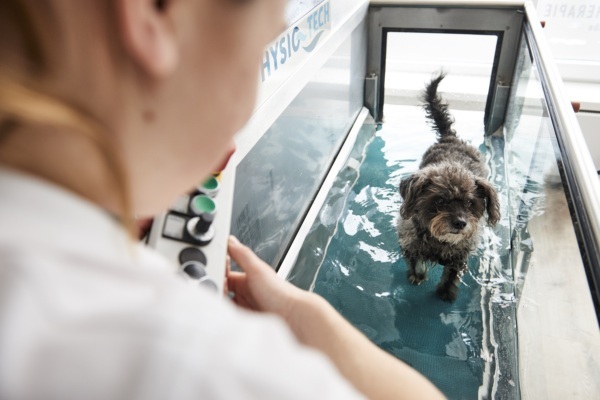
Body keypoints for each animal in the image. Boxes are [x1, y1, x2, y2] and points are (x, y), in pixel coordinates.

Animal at [398, 73, 502, 302]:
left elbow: (452, 274)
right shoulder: (411, 242)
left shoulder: (460, 254)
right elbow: (417, 262)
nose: (460, 223)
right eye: (439, 201)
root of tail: (450, 137)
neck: (440, 241)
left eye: (470, 203)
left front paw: (446, 292)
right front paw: (418, 275)